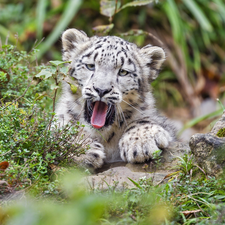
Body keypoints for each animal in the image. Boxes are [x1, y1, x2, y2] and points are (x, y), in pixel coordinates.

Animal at [55, 28, 176, 169]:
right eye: (90, 66)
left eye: (123, 72)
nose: (101, 90)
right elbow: (62, 128)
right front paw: (83, 150)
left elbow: (145, 119)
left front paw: (142, 142)